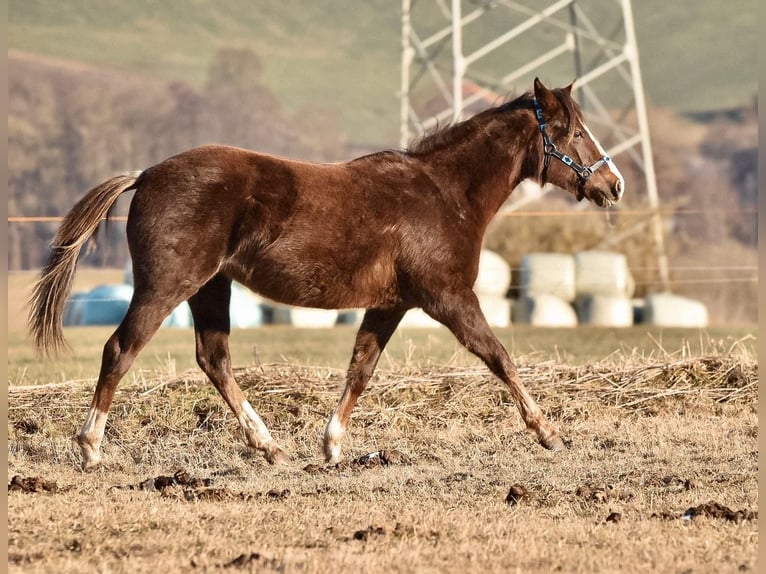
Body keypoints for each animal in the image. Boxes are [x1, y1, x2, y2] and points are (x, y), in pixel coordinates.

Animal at [33, 77, 628, 472]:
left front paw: (332, 445)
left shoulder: (390, 304)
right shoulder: (448, 297)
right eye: (573, 131)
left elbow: (360, 369)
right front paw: (549, 433)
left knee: (213, 359)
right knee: (121, 349)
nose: (614, 185)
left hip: (210, 288)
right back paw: (90, 448)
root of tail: (146, 175)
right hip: (167, 285)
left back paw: (270, 447)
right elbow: (499, 357)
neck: (443, 194)